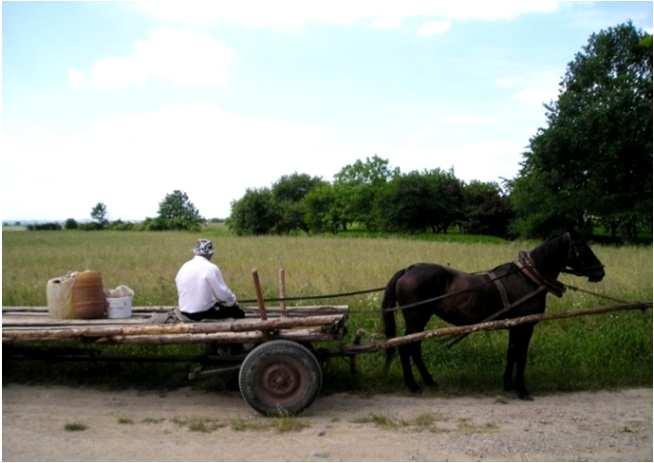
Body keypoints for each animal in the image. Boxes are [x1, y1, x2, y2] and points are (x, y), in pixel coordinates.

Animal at [382, 232, 608, 398]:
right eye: (582, 248)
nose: (600, 272)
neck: (528, 278)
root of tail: (408, 270)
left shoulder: (514, 326)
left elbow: (511, 353)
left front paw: (508, 385)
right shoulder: (525, 326)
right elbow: (521, 356)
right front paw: (521, 390)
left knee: (414, 347)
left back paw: (429, 381)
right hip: (416, 316)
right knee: (406, 347)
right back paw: (413, 385)